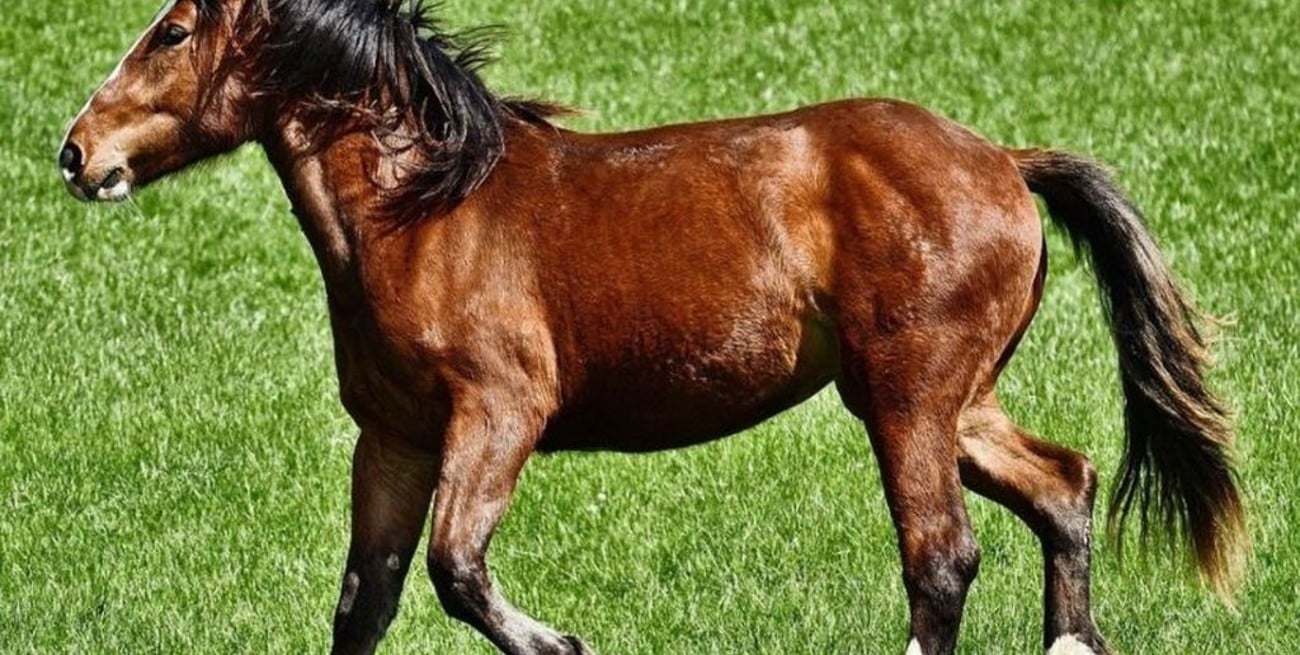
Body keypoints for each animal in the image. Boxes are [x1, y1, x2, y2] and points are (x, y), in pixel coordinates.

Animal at [59, 1, 1246, 654]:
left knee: (942, 556)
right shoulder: (391, 438)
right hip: (950, 400)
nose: (76, 153)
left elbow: (456, 569)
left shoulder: (501, 414)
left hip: (907, 399)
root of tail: (1004, 159)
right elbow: (369, 599)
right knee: (1064, 484)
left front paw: (567, 642)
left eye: (172, 30)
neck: (425, 212)